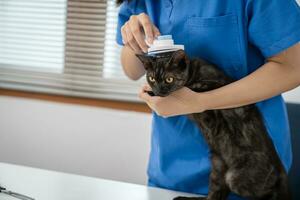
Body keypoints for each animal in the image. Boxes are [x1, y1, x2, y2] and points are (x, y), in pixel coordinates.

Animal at [136, 50, 290, 200]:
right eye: (152, 79)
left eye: (169, 79)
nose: (159, 91)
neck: (193, 73)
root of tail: (280, 168)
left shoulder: (218, 88)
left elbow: (201, 91)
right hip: (218, 164)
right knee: (214, 195)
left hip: (235, 179)